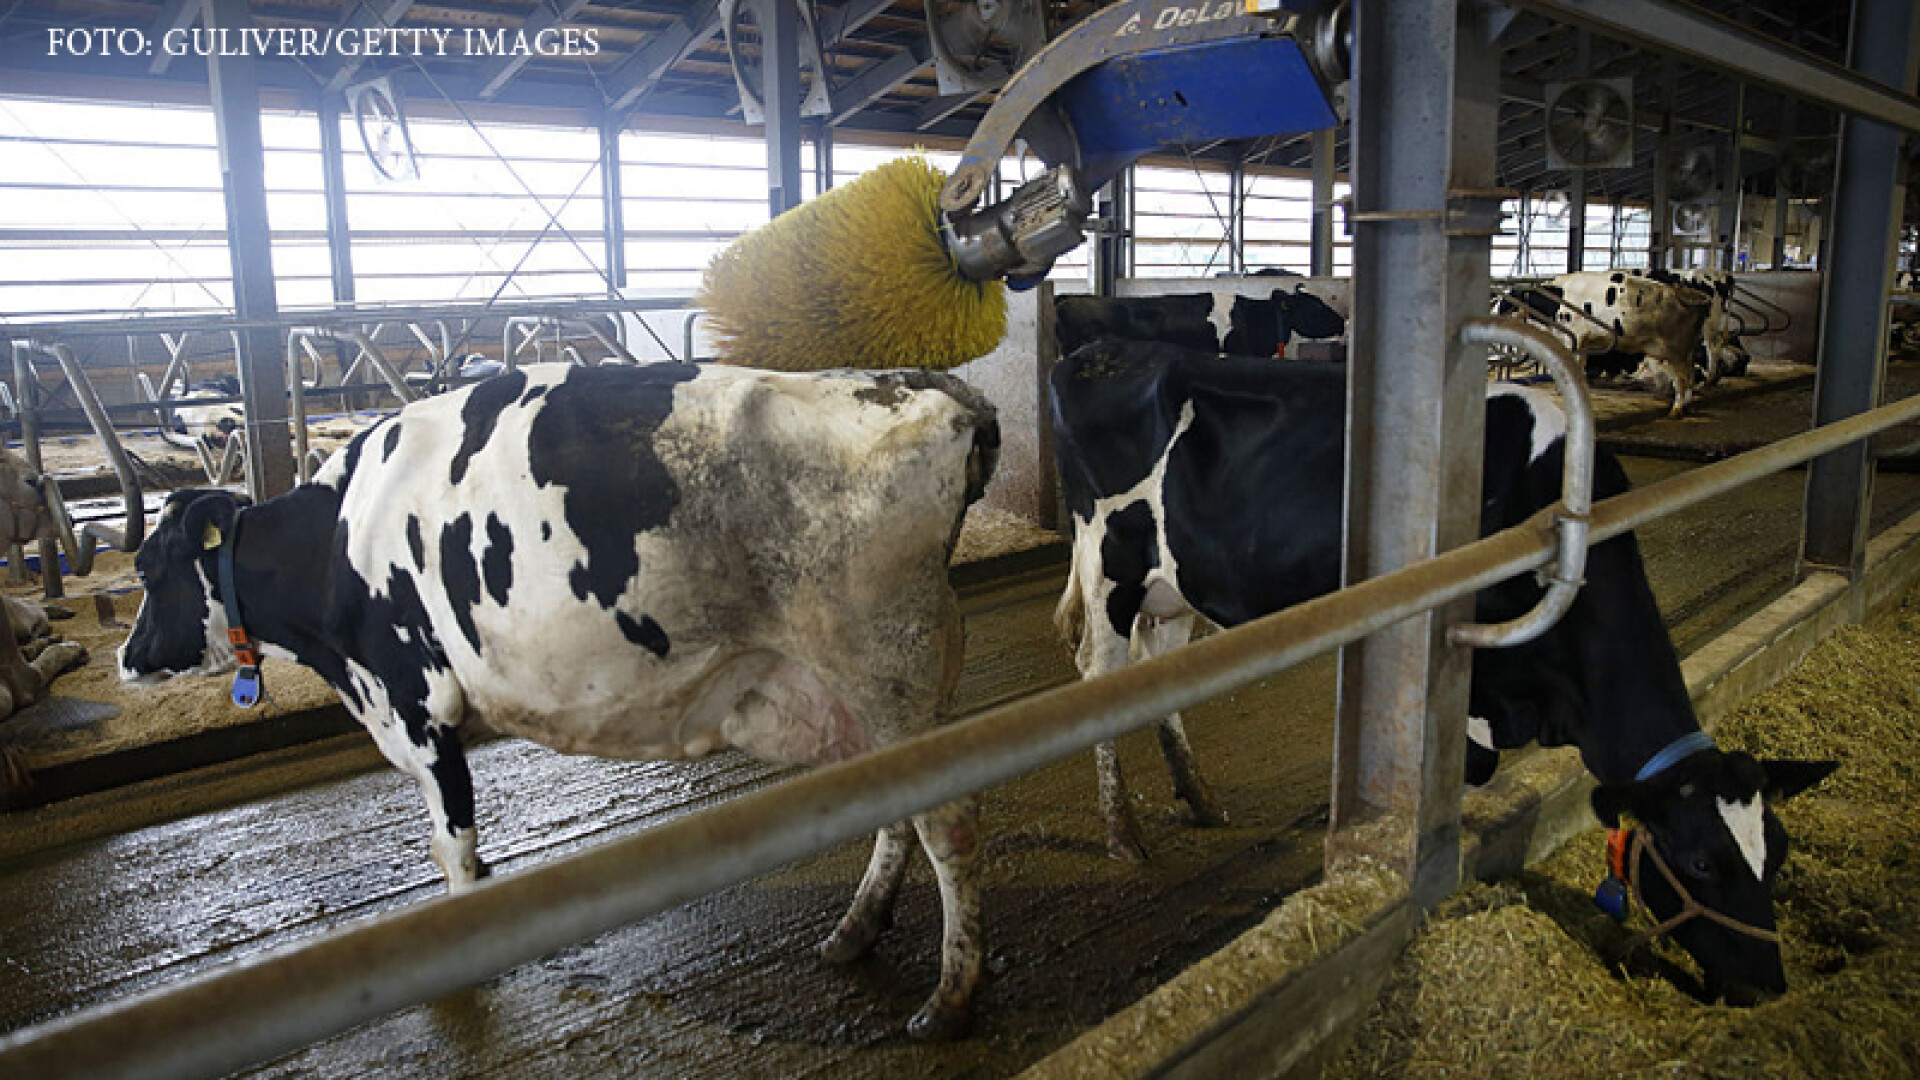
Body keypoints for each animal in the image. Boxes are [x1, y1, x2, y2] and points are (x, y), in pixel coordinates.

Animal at [1052, 336, 1843, 999]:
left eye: (1777, 852)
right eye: (1703, 862)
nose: (1767, 984)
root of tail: (1101, 351)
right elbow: (1463, 773)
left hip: (1175, 584)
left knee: (1155, 671)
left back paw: (1199, 796)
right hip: (1110, 562)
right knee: (1099, 676)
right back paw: (1123, 834)